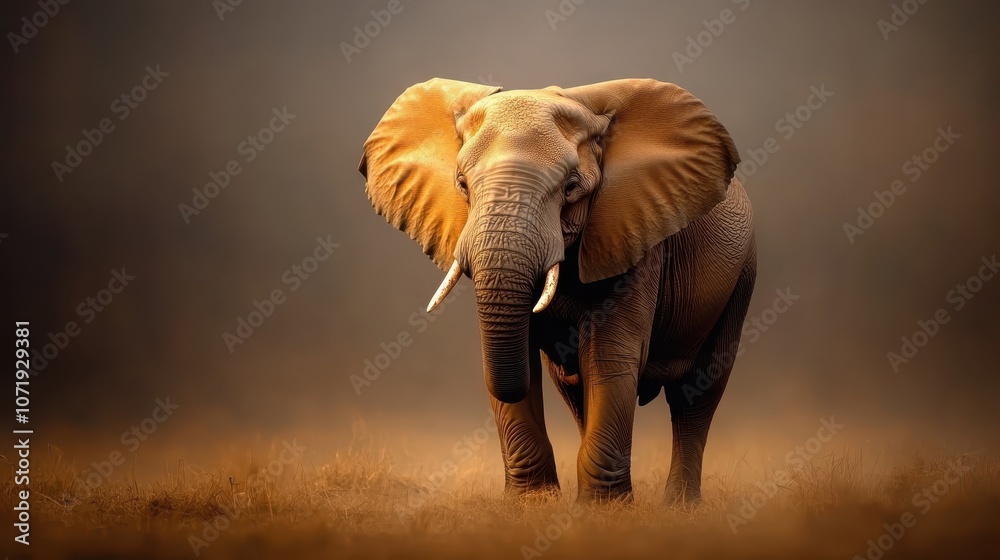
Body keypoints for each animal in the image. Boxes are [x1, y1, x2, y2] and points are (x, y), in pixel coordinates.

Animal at [359, 78, 756, 504]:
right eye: (462, 184)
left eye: (571, 187)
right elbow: (527, 362)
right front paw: (533, 505)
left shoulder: (633, 238)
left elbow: (608, 358)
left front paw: (604, 510)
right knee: (574, 389)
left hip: (741, 277)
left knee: (697, 391)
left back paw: (680, 507)